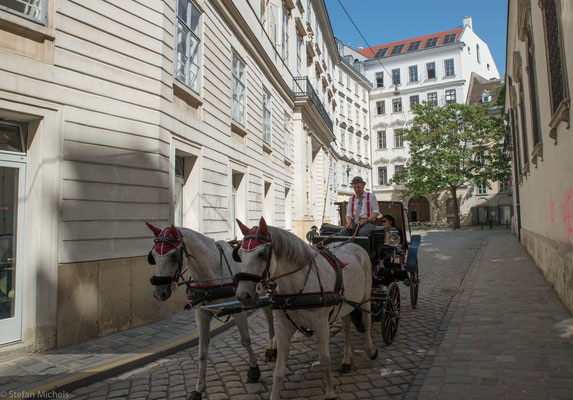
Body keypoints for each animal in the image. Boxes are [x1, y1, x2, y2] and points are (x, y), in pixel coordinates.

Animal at [144, 223, 276, 398]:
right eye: (153, 255)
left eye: (172, 256)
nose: (159, 292)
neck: (213, 273)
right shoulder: (201, 313)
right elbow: (202, 352)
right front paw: (198, 389)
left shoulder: (238, 308)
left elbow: (246, 340)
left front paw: (254, 369)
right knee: (268, 314)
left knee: (271, 318)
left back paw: (272, 349)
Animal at [235, 219, 378, 400]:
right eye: (239, 254)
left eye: (261, 254)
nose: (243, 295)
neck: (297, 286)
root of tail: (353, 243)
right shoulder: (284, 328)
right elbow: (279, 370)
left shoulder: (322, 325)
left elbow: (325, 360)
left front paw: (330, 392)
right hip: (344, 304)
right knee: (346, 326)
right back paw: (346, 359)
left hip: (365, 298)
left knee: (366, 321)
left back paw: (370, 350)